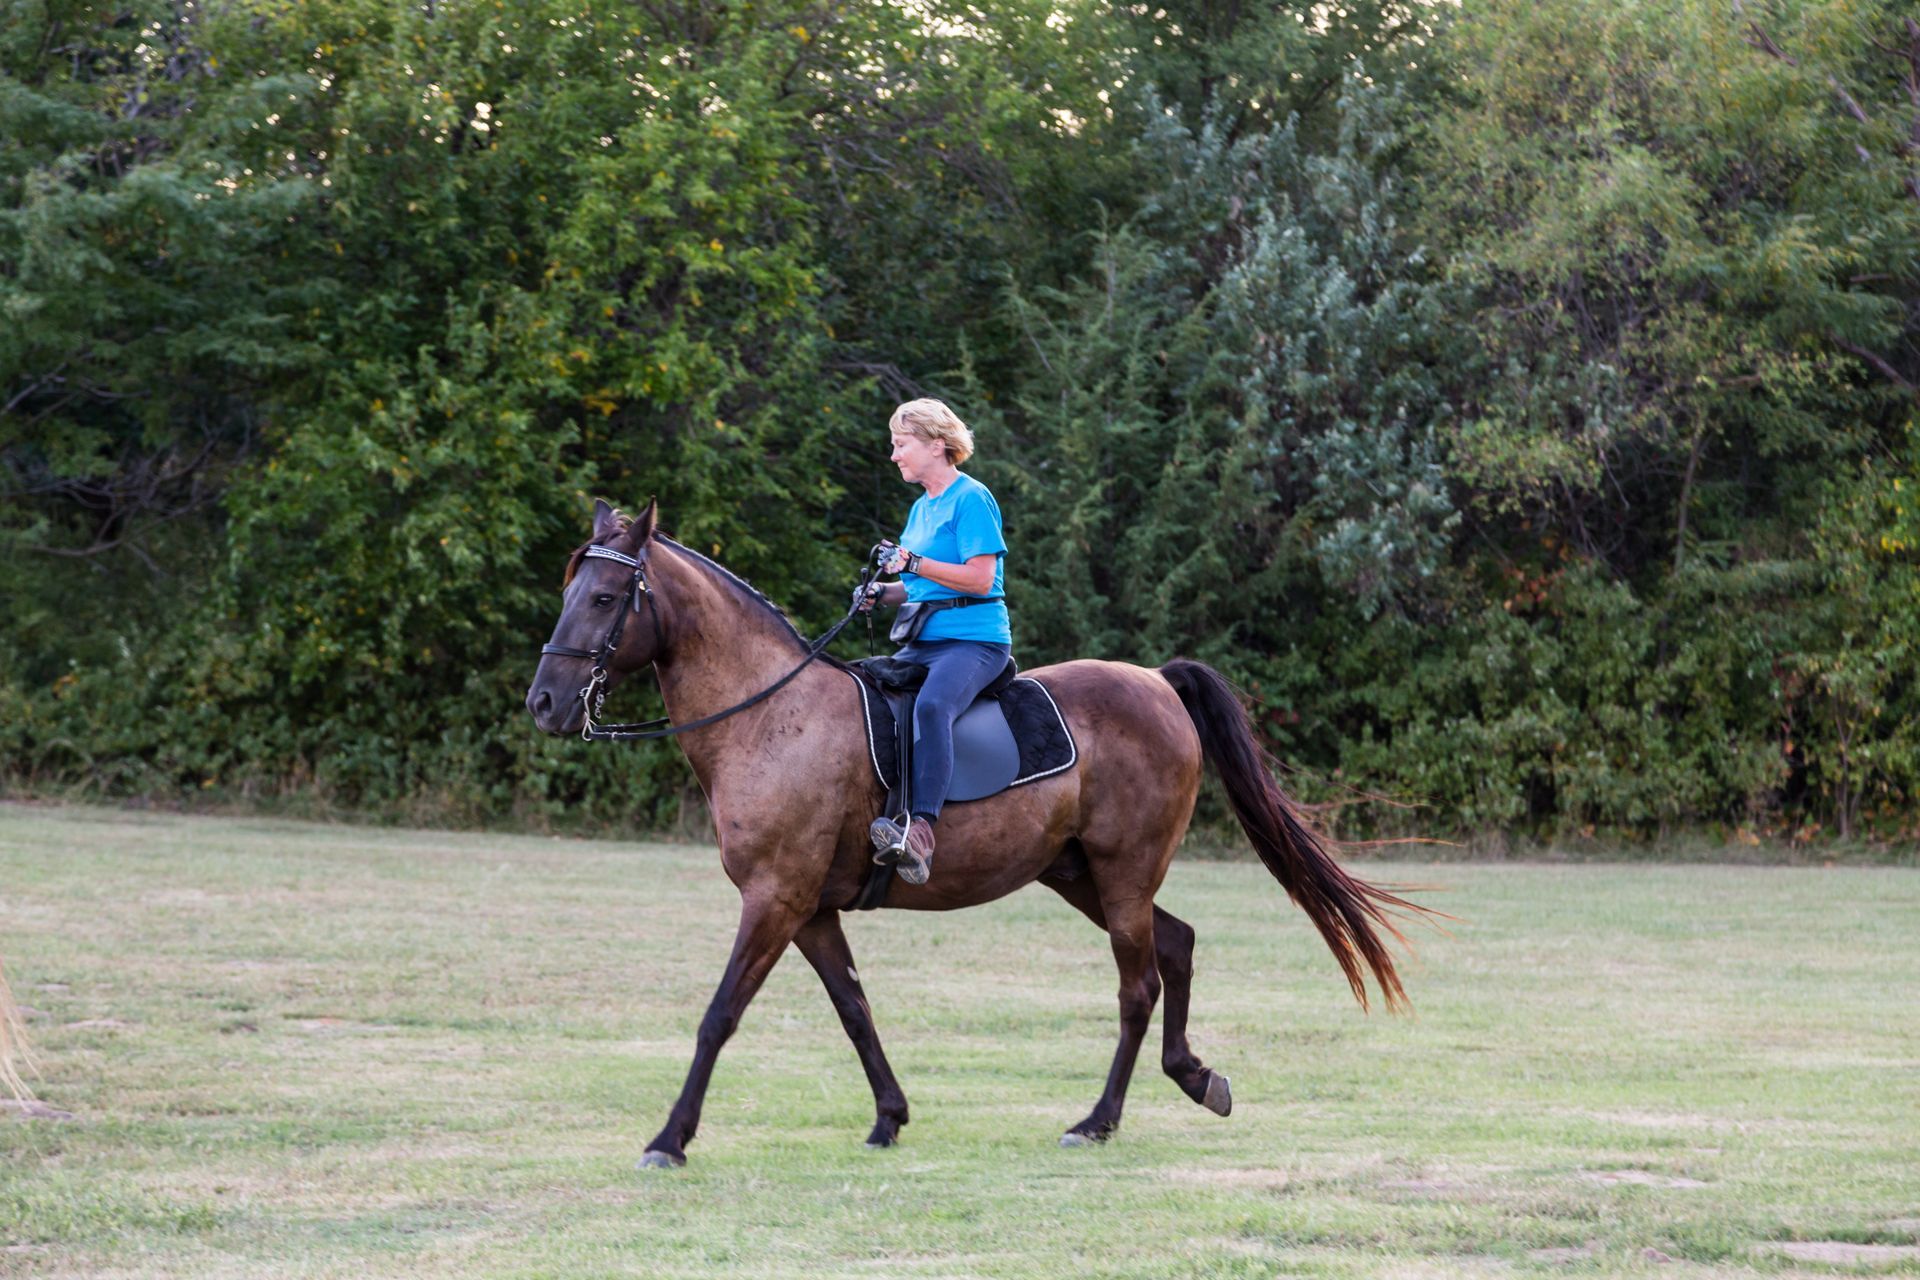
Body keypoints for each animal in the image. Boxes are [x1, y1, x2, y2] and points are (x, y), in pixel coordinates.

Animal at [524, 499, 1430, 1166]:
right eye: (571, 593)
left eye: (604, 599)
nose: (544, 702)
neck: (770, 715)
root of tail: (1156, 683)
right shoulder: (810, 910)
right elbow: (854, 1009)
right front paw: (889, 1117)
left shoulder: (774, 899)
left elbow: (719, 1015)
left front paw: (669, 1139)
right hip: (1080, 874)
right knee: (1176, 945)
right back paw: (1194, 1077)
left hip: (1123, 874)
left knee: (1139, 984)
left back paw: (1097, 1121)